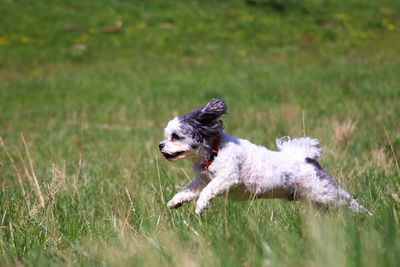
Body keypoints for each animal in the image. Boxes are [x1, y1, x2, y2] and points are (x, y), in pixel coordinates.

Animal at [158, 98, 370, 216]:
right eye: (167, 136)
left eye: (176, 136)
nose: (160, 145)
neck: (214, 151)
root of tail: (306, 157)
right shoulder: (202, 180)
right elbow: (189, 190)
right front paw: (175, 201)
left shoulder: (227, 177)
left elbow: (207, 191)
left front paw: (201, 206)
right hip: (314, 199)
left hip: (323, 191)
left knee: (349, 201)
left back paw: (368, 216)